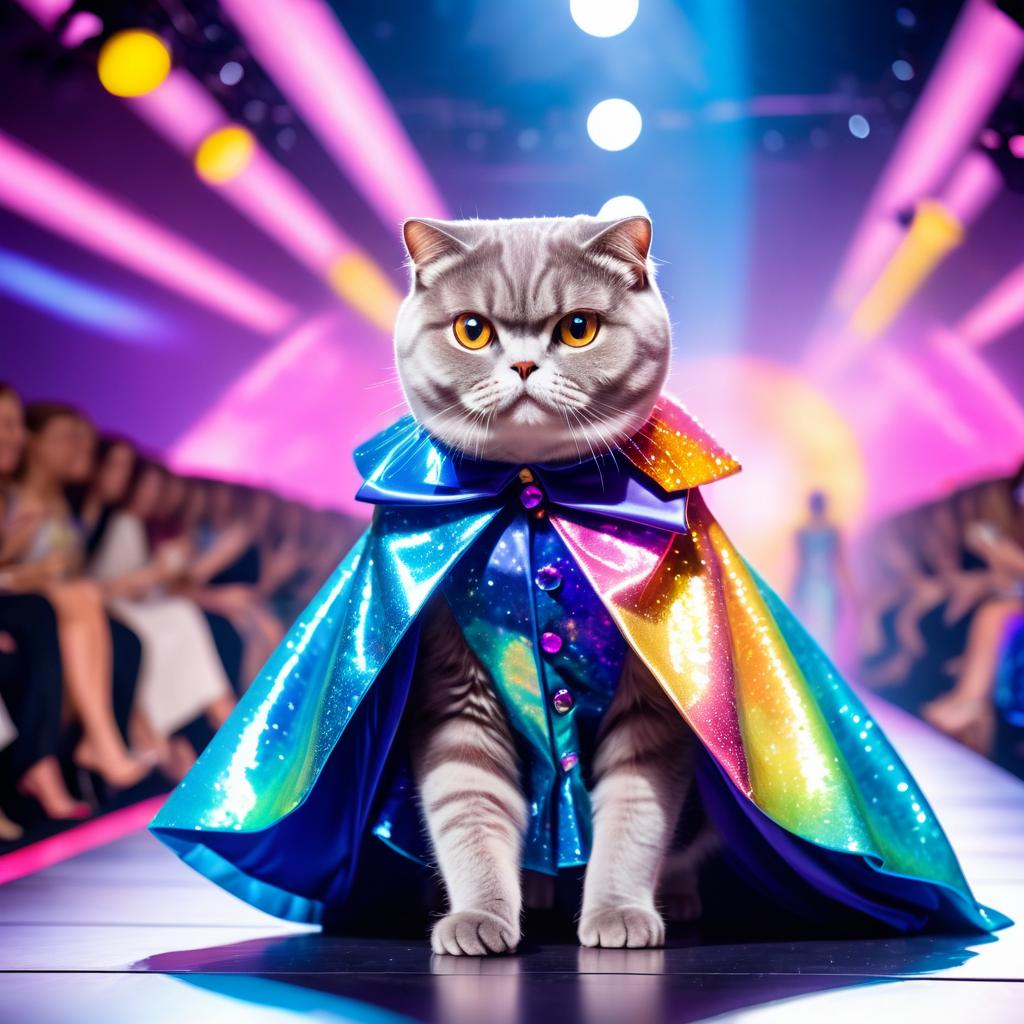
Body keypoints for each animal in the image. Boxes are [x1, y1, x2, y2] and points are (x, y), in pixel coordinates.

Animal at [395, 211, 700, 954]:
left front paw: (619, 911)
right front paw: (479, 917)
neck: (534, 498)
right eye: (472, 330)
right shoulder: (457, 692)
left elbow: (634, 816)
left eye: (578, 328)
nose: (526, 365)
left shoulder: (651, 702)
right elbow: (468, 809)